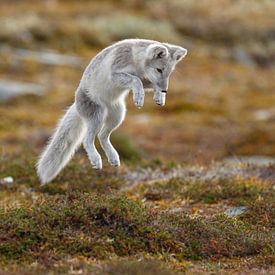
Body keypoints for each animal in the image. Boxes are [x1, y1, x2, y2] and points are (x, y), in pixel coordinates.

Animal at [36, 38, 188, 184]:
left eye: (169, 73)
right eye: (159, 70)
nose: (165, 90)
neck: (135, 60)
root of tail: (76, 103)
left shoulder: (144, 77)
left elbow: (146, 82)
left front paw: (159, 97)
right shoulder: (116, 73)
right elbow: (136, 80)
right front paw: (140, 97)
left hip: (118, 115)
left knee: (102, 136)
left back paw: (113, 157)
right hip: (98, 116)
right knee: (88, 140)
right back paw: (96, 159)